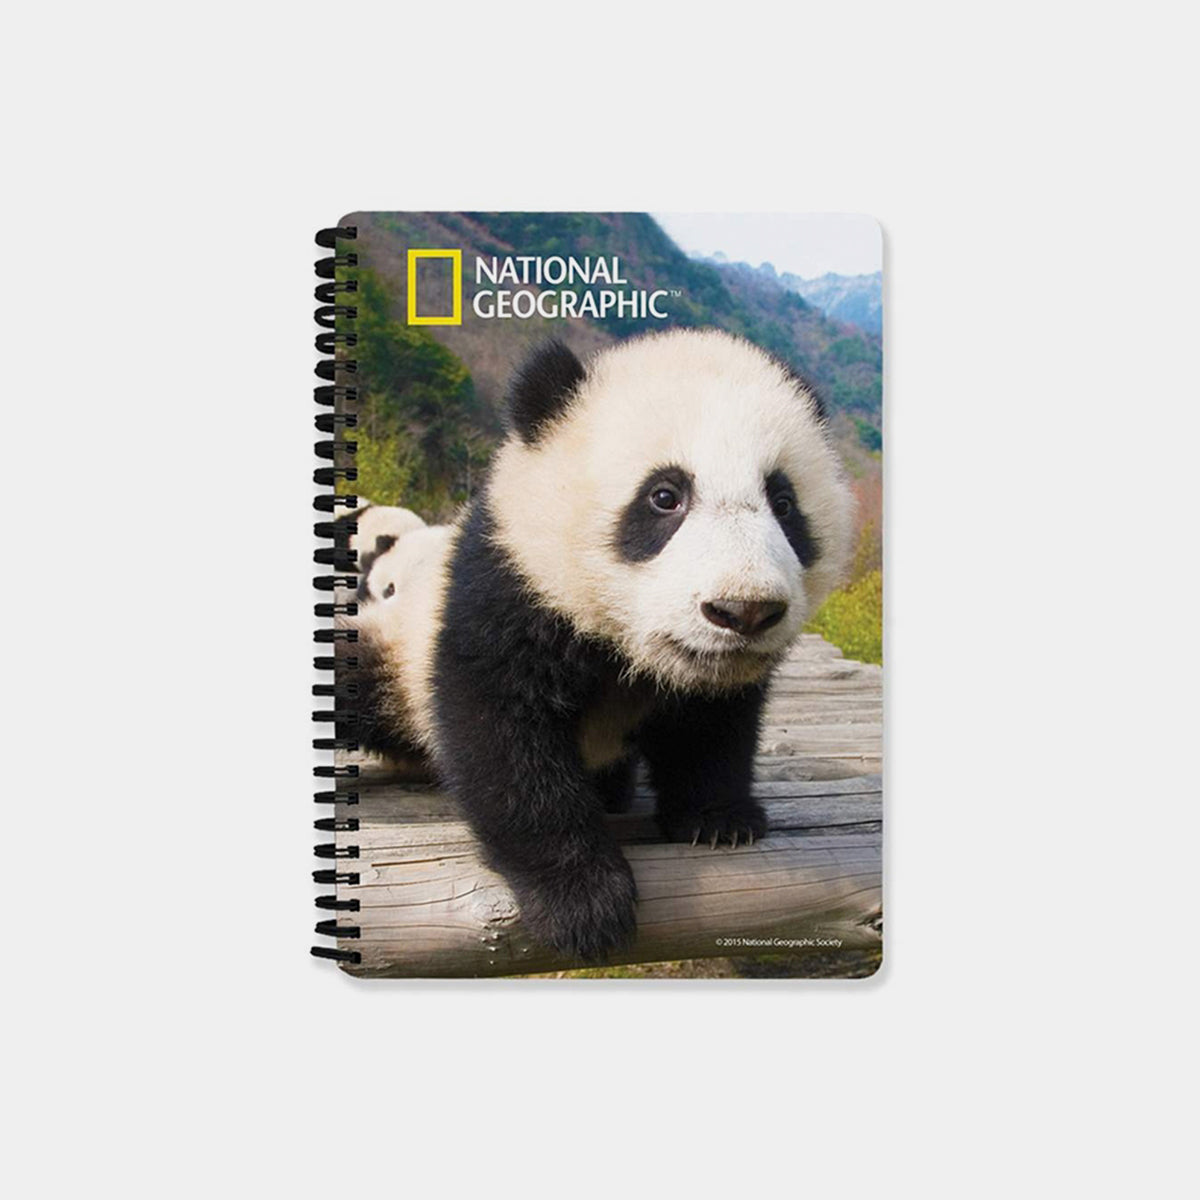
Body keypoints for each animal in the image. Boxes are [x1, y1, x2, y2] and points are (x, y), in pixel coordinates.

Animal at [343, 328, 855, 961]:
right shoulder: (506, 582)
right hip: (396, 646)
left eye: (784, 504)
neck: (624, 645)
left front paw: (719, 818)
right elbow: (502, 732)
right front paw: (583, 902)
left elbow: (715, 726)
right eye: (664, 496)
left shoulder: (716, 684)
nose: (744, 610)